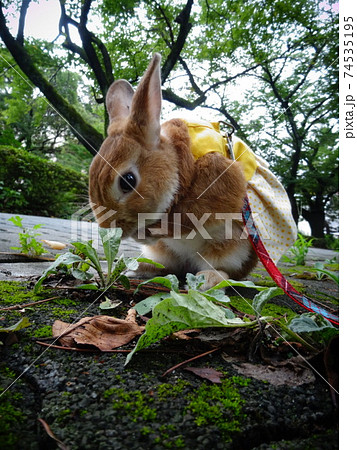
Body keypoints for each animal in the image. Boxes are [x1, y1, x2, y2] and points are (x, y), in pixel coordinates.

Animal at [89, 52, 262, 290]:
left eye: (128, 181)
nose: (108, 227)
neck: (179, 164)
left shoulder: (216, 191)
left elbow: (185, 220)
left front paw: (146, 232)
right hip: (164, 251)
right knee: (165, 265)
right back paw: (133, 269)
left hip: (232, 247)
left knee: (224, 270)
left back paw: (206, 280)